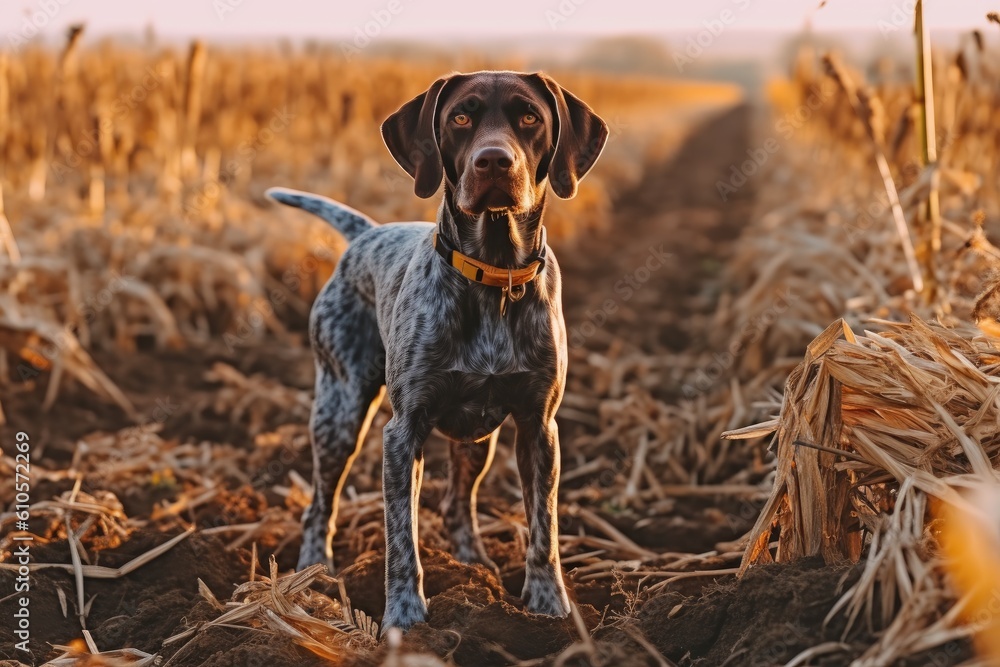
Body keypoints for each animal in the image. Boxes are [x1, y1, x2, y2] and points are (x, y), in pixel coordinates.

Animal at [268, 70, 608, 636]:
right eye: (461, 117)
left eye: (529, 116)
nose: (494, 161)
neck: (494, 276)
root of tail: (366, 233)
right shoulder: (403, 434)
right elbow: (401, 541)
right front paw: (405, 621)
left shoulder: (538, 428)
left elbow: (544, 528)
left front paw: (549, 608)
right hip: (339, 411)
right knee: (320, 503)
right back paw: (313, 574)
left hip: (478, 439)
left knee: (455, 503)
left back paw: (474, 567)